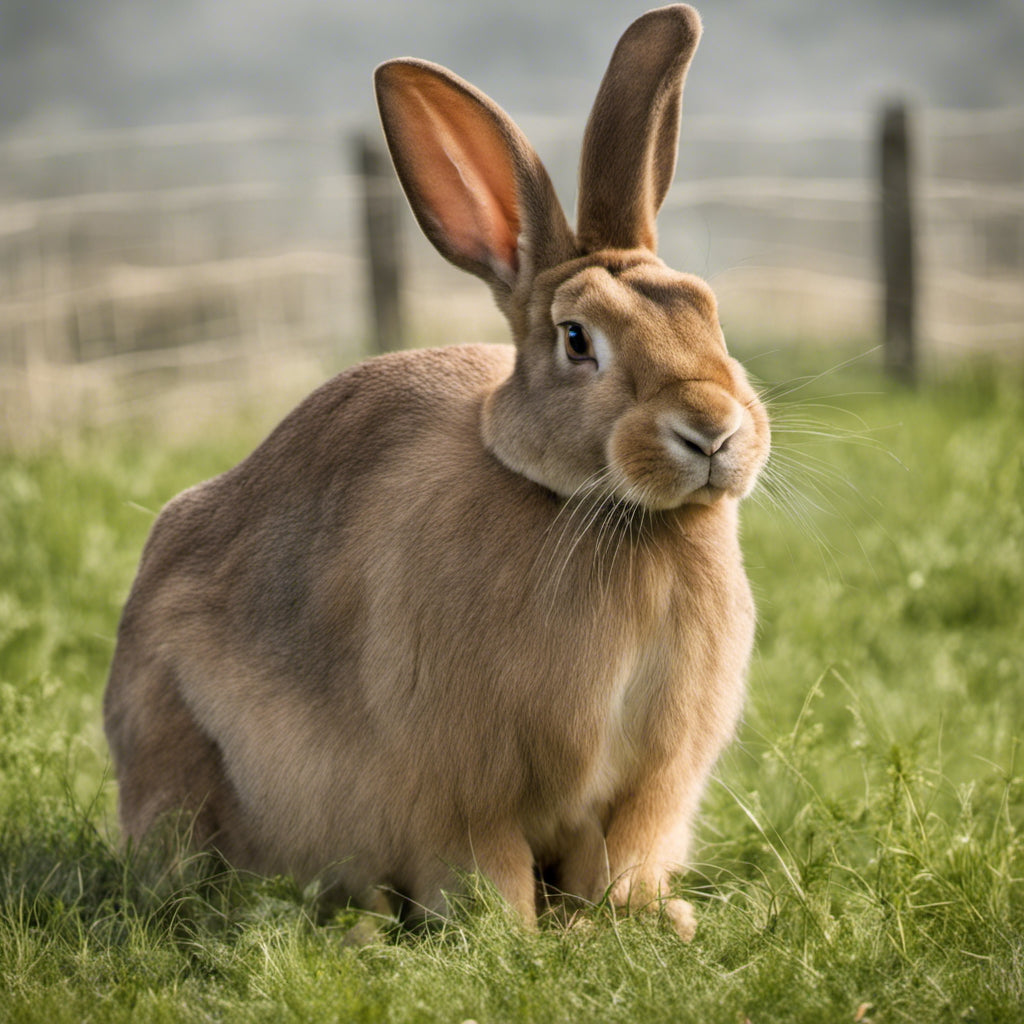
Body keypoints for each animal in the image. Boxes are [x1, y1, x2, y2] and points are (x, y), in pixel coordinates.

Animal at [105, 4, 770, 937]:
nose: (711, 432)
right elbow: (485, 870)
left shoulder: (650, 784)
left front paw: (652, 921)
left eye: (708, 310)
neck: (598, 510)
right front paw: (514, 939)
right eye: (577, 340)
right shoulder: (460, 789)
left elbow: (624, 860)